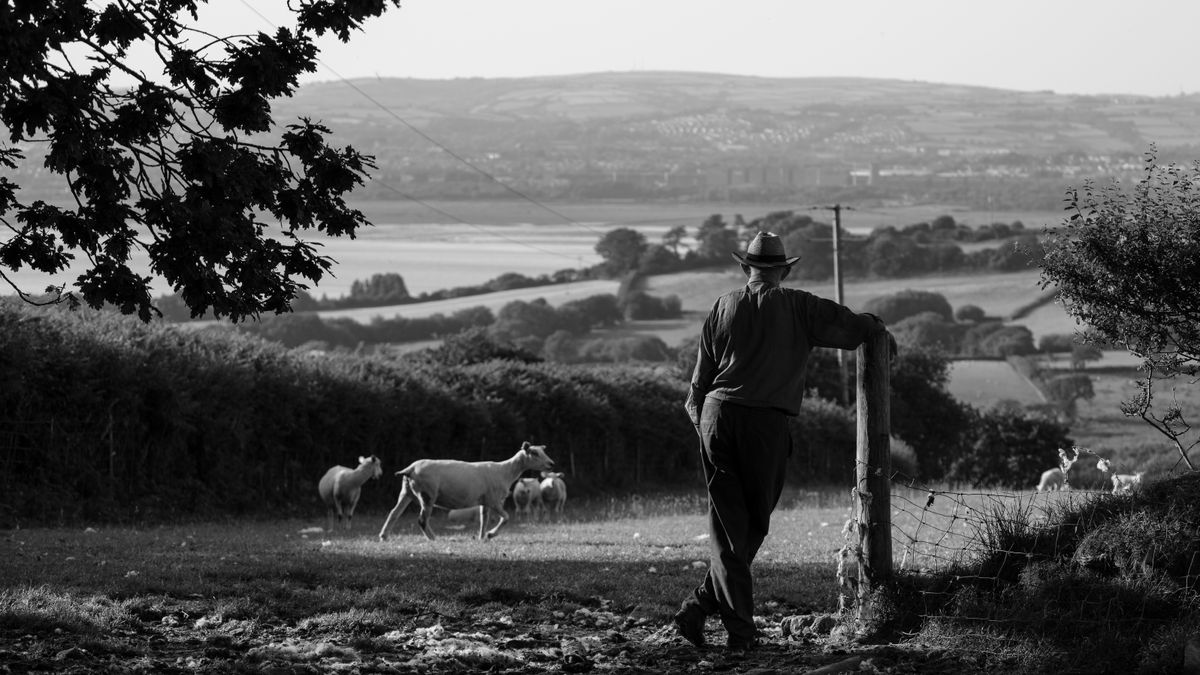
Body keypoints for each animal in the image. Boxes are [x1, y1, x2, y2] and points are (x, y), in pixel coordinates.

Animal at [376, 439, 554, 538]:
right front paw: (491, 535)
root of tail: (410, 469)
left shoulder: (485, 501)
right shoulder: (494, 500)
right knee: (422, 520)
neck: (505, 471)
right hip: (427, 494)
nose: (551, 463)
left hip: (407, 492)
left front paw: (482, 538)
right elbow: (506, 518)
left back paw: (384, 536)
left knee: (393, 513)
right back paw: (433, 539)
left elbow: (483, 520)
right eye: (534, 453)